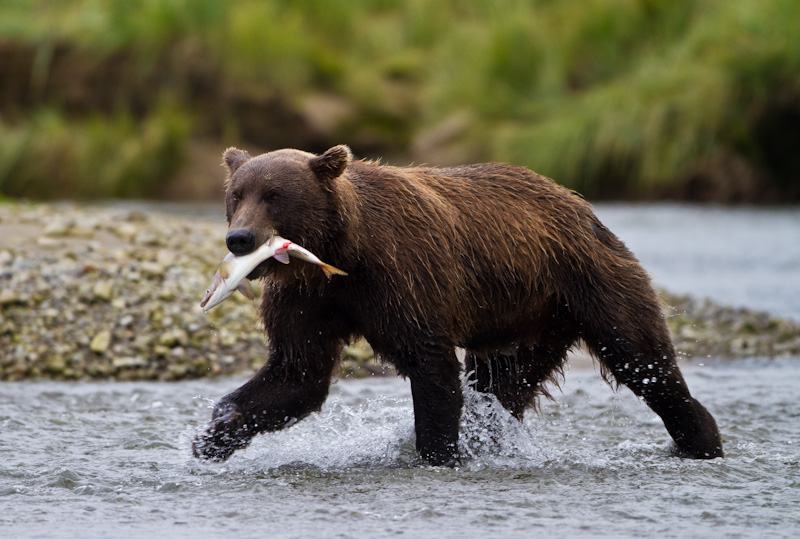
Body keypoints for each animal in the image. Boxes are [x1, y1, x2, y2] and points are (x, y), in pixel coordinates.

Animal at [194, 146, 724, 466]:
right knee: (502, 382)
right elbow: (296, 372)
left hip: (588, 279)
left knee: (641, 357)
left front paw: (437, 452)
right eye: (236, 194)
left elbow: (430, 365)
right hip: (527, 320)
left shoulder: (401, 275)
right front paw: (214, 434)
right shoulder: (309, 298)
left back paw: (701, 438)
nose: (240, 238)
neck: (340, 254)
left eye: (274, 195)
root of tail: (581, 205)